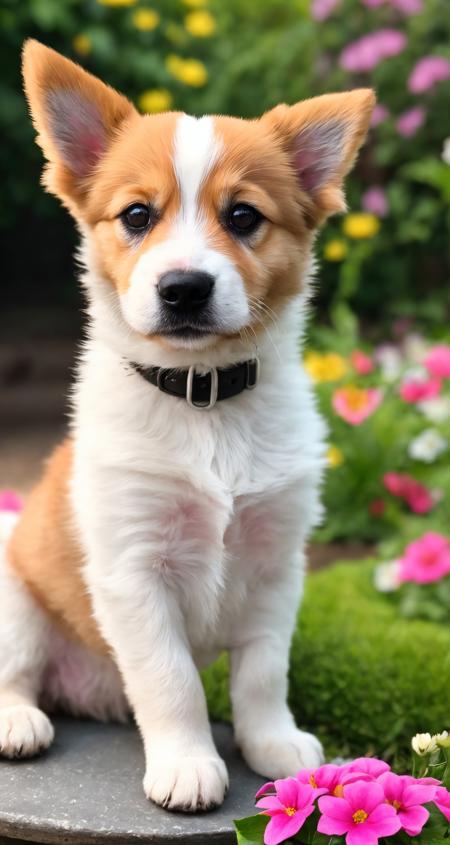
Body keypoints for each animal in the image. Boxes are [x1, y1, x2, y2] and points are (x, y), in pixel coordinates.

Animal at [0, 41, 372, 812]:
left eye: (243, 215)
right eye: (138, 215)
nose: (184, 288)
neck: (206, 402)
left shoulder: (277, 564)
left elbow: (262, 673)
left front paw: (272, 743)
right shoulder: (135, 570)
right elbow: (172, 682)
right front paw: (188, 763)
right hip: (13, 593)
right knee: (15, 672)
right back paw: (19, 719)